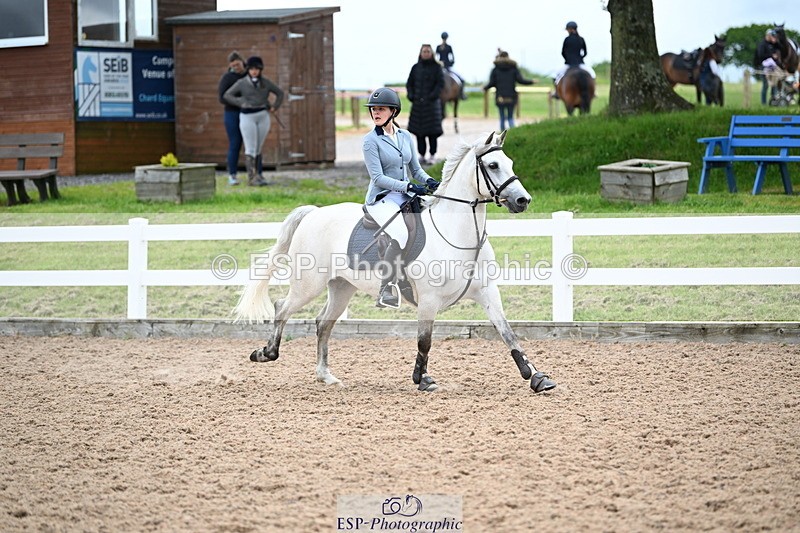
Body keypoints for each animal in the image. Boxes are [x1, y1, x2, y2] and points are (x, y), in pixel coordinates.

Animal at [234, 131, 556, 394]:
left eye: (510, 162)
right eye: (492, 166)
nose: (523, 201)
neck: (458, 234)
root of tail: (314, 213)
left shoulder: (488, 292)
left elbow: (508, 334)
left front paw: (536, 377)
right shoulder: (429, 298)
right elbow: (424, 340)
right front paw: (422, 379)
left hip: (341, 287)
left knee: (322, 323)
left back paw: (325, 376)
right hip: (308, 284)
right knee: (281, 308)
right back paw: (265, 353)